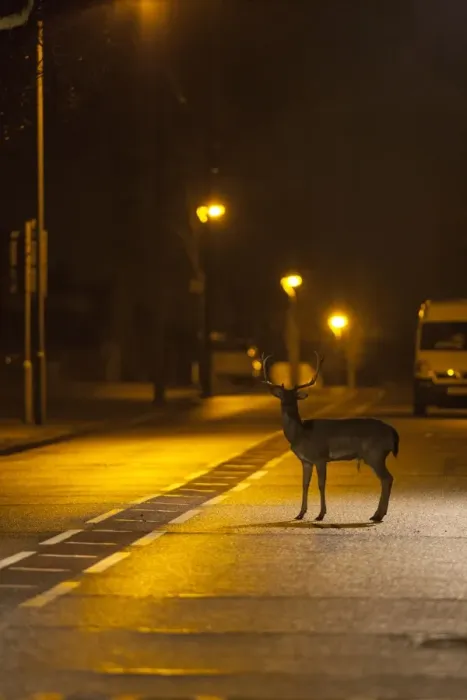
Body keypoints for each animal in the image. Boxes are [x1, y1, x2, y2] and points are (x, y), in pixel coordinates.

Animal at [262, 353, 399, 523]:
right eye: (282, 396)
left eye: (294, 397)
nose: (287, 406)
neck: (301, 434)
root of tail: (392, 431)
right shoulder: (306, 461)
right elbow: (305, 484)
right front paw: (300, 514)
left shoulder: (320, 457)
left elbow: (321, 484)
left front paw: (320, 514)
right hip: (376, 455)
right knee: (386, 479)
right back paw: (377, 514)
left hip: (375, 454)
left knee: (387, 478)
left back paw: (377, 515)